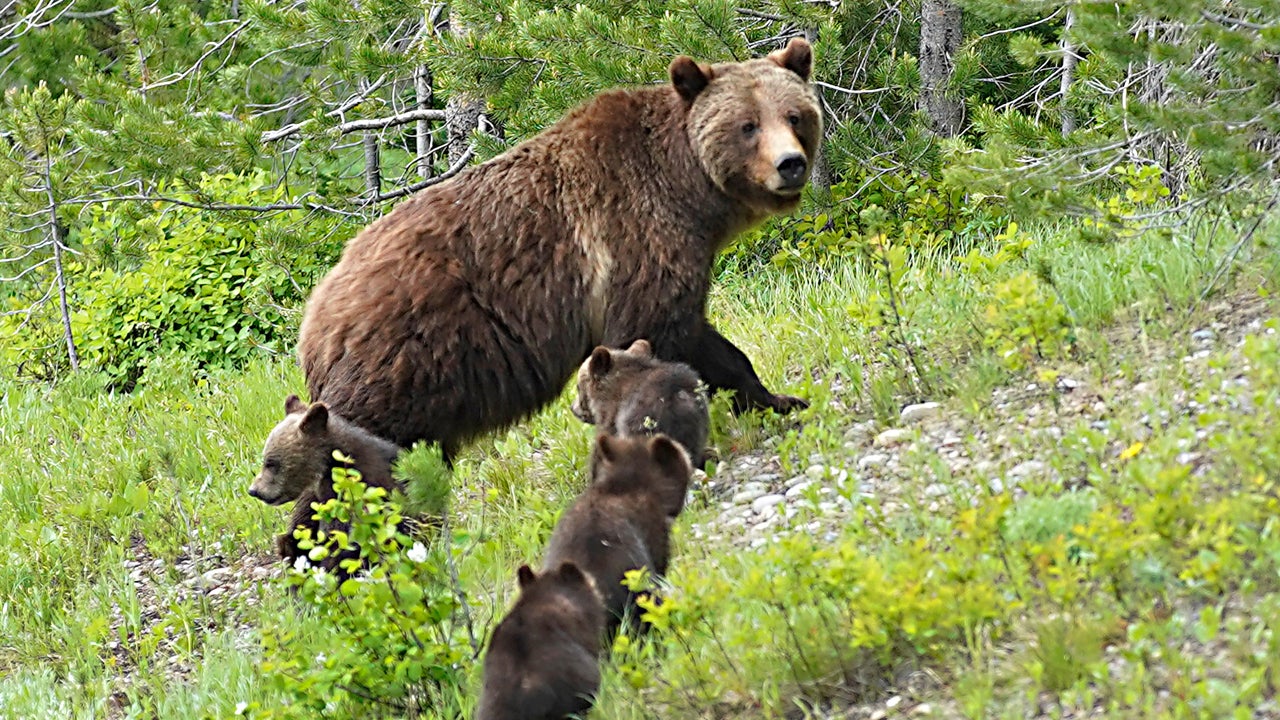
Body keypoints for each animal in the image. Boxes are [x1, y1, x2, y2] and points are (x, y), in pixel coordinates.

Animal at [298, 37, 819, 458]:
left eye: (795, 115)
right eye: (748, 125)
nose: (790, 164)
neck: (689, 190)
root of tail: (313, 315)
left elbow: (706, 343)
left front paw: (779, 399)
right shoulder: (634, 237)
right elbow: (659, 329)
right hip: (409, 355)